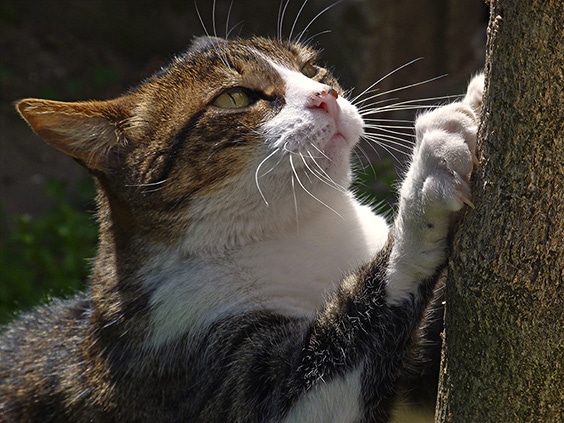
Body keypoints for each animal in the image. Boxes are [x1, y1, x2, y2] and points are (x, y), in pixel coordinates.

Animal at [1, 24, 480, 422]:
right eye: (234, 97)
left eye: (312, 68)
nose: (326, 96)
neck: (301, 232)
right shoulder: (196, 369)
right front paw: (432, 165)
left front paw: (476, 98)